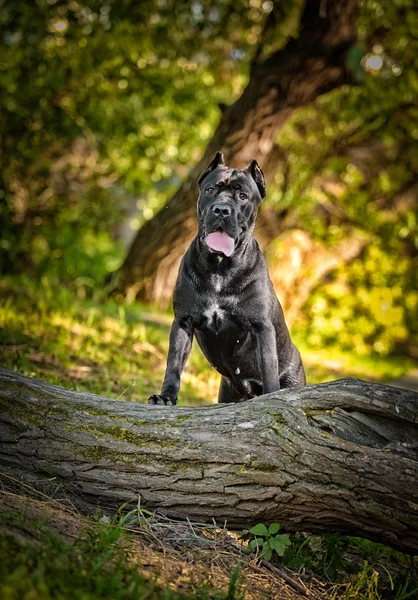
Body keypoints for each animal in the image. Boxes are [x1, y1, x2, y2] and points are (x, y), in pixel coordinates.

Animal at [149, 150, 306, 406]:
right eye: (211, 189)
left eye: (243, 196)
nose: (222, 210)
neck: (220, 268)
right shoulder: (183, 321)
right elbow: (173, 363)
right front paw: (166, 396)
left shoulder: (261, 327)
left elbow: (268, 366)